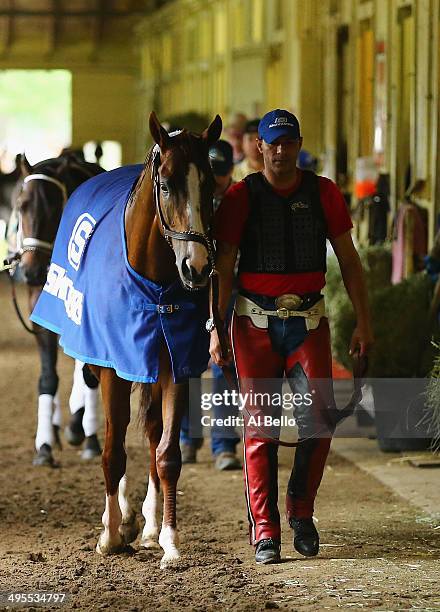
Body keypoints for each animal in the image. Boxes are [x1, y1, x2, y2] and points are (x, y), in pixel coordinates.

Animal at [9, 152, 105, 464]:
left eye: (55, 209)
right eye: (21, 205)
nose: (32, 271)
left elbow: (88, 374)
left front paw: (88, 438)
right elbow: (48, 378)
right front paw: (44, 446)